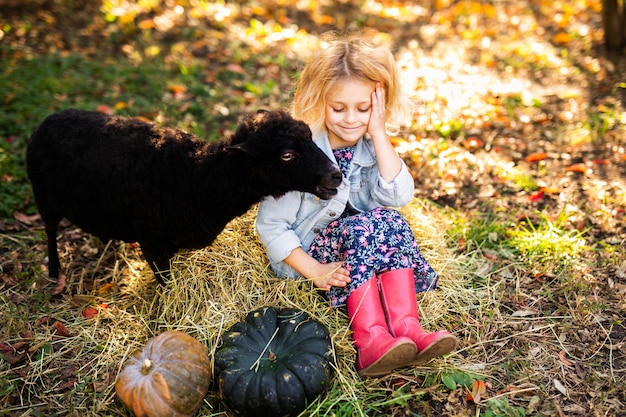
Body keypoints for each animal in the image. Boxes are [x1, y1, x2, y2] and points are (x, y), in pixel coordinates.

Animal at [28, 109, 342, 292]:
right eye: (286, 155)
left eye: (311, 136)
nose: (335, 175)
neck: (198, 178)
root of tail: (48, 120)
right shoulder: (152, 244)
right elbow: (167, 285)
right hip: (44, 198)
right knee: (50, 231)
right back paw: (54, 271)